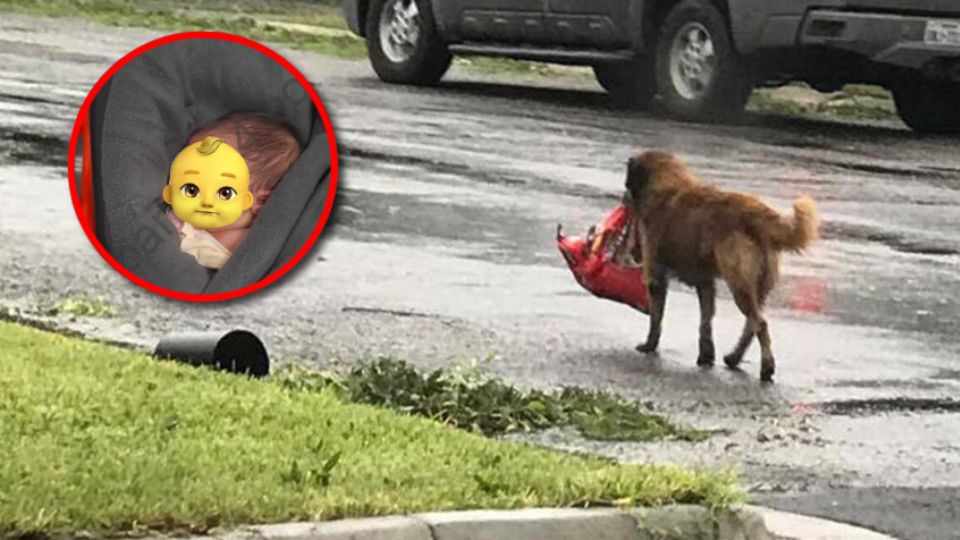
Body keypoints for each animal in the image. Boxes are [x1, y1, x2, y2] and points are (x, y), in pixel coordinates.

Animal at [624, 150, 816, 382]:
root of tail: (756, 213)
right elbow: (706, 321)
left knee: (760, 323)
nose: (624, 197)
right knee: (752, 325)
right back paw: (734, 357)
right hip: (758, 286)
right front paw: (706, 355)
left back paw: (766, 367)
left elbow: (656, 318)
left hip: (739, 284)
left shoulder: (656, 277)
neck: (667, 186)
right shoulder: (705, 283)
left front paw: (649, 346)